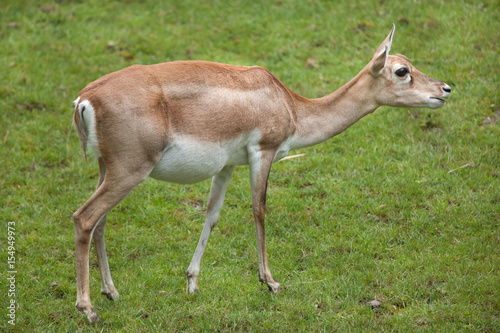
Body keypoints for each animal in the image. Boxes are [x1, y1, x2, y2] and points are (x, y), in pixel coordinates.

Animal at [72, 24, 452, 322]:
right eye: (402, 70)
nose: (445, 89)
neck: (290, 106)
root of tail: (86, 98)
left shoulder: (226, 166)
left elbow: (212, 215)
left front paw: (192, 282)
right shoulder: (264, 152)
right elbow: (259, 210)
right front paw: (270, 282)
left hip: (109, 168)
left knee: (100, 222)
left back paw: (112, 293)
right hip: (130, 170)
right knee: (84, 217)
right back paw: (88, 308)